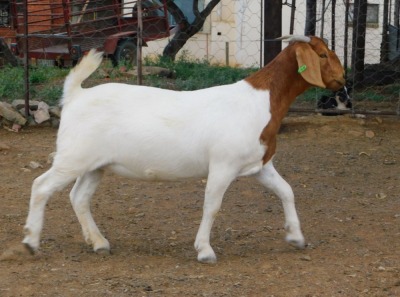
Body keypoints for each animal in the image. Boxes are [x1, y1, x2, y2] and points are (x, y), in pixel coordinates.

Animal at [21, 34, 346, 262]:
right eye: (322, 54)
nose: (343, 81)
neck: (261, 101)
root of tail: (76, 95)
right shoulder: (223, 165)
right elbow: (212, 206)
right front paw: (204, 250)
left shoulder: (260, 165)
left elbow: (286, 191)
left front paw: (296, 237)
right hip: (73, 157)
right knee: (40, 186)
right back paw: (31, 242)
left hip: (94, 165)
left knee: (79, 197)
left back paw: (99, 243)